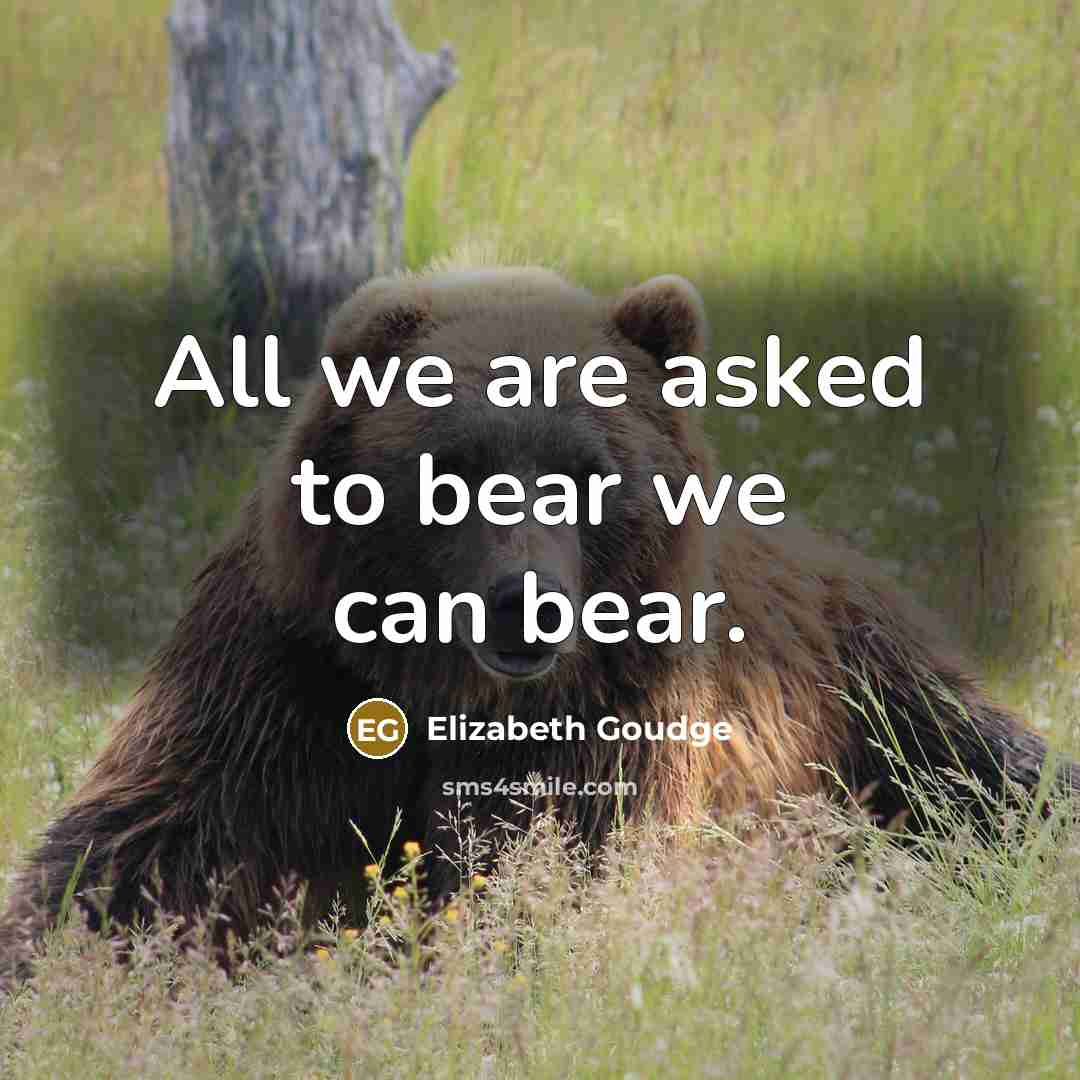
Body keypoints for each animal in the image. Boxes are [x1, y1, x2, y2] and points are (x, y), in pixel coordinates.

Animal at [0, 258, 1074, 990]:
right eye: (453, 469)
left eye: (589, 472)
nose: (528, 600)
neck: (448, 693)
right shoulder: (285, 679)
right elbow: (149, 846)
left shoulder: (612, 721)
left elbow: (543, 868)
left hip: (863, 683)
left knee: (984, 767)